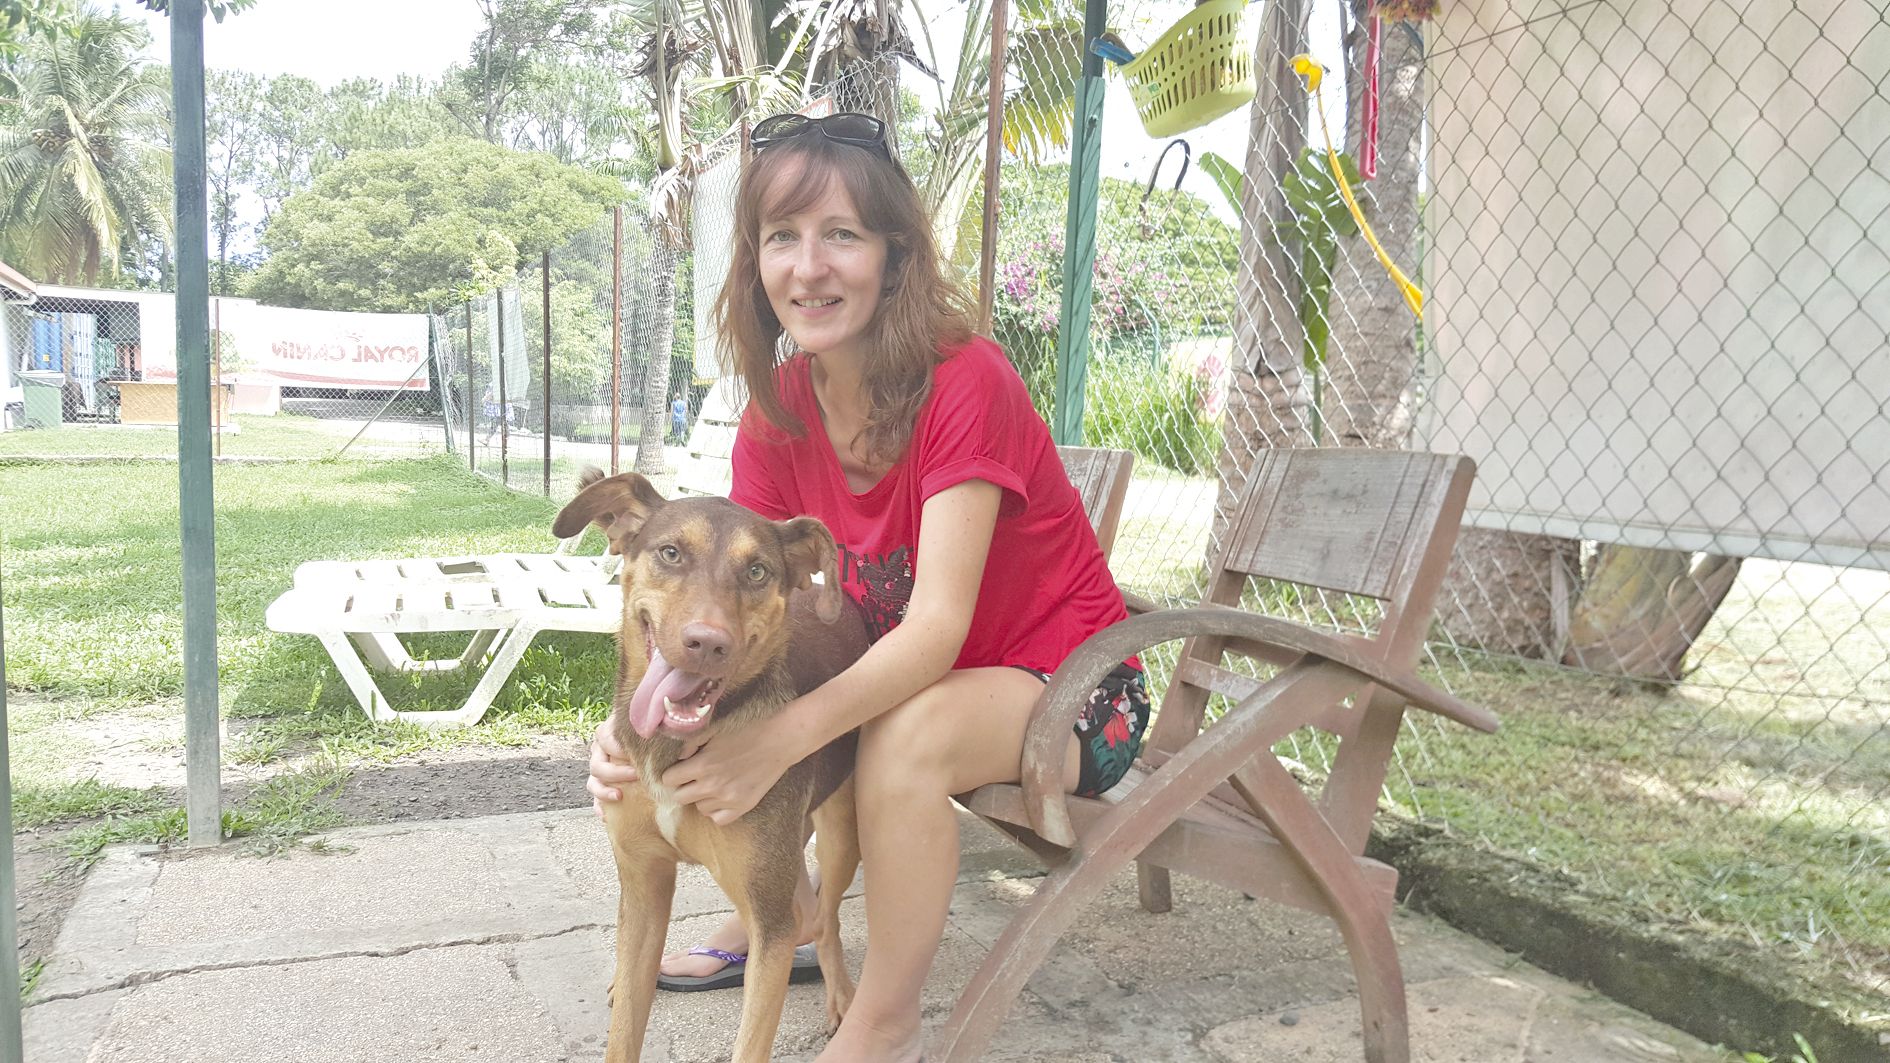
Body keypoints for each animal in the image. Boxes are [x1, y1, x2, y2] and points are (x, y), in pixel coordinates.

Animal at [553, 469, 871, 1063]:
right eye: (671, 553)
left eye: (757, 571)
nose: (707, 643)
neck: (673, 748)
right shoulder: (643, 885)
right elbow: (625, 1027)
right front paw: (624, 992)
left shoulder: (769, 924)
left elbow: (753, 1037)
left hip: (841, 833)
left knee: (825, 915)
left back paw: (842, 994)